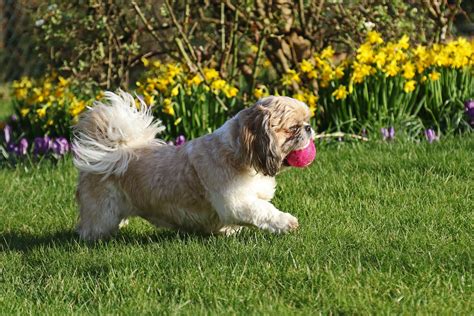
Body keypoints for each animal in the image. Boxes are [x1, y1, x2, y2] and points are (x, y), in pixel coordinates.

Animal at [72, 90, 312, 239]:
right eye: (292, 128)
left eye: (306, 121)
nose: (309, 128)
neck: (240, 156)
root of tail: (110, 152)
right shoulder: (236, 202)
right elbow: (264, 211)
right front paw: (286, 222)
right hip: (103, 214)